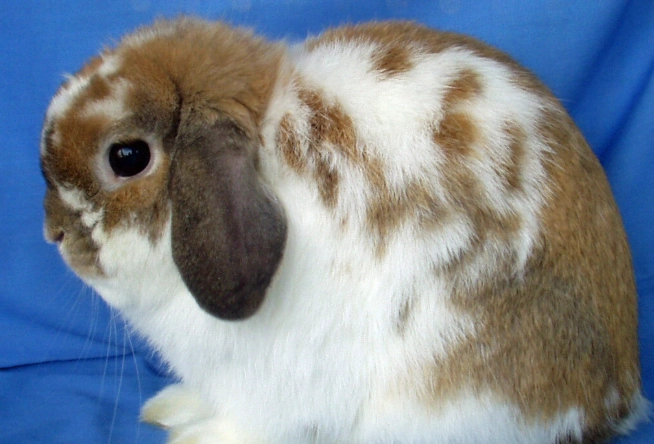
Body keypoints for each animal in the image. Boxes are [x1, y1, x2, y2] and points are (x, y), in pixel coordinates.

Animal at [40, 18, 648, 443]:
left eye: (127, 157)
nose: (52, 235)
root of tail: (617, 398)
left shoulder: (281, 385)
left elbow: (257, 425)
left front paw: (200, 436)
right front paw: (170, 409)